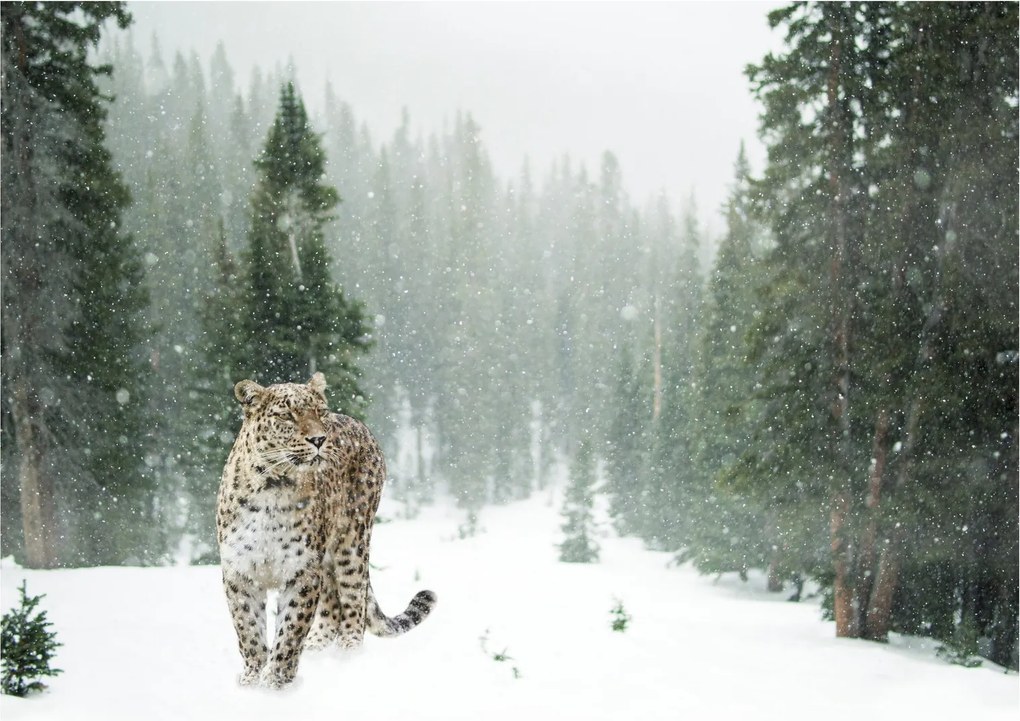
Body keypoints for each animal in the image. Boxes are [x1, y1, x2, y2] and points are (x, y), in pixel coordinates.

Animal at [216, 372, 436, 688]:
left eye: (320, 412)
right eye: (287, 415)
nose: (319, 439)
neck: (272, 487)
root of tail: (360, 425)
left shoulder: (302, 571)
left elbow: (290, 630)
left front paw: (276, 682)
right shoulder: (240, 572)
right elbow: (248, 630)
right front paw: (252, 679)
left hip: (352, 541)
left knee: (354, 599)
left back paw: (347, 654)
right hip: (328, 558)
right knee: (332, 604)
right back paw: (317, 648)